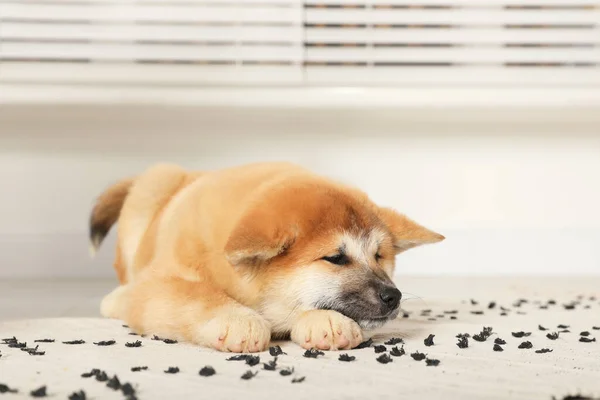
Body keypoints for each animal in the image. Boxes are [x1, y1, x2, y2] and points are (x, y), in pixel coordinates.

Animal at [90, 161, 446, 352]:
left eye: (379, 255)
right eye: (335, 258)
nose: (393, 296)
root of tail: (191, 173)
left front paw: (325, 321)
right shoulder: (160, 282)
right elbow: (197, 295)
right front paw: (238, 320)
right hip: (153, 185)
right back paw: (116, 299)